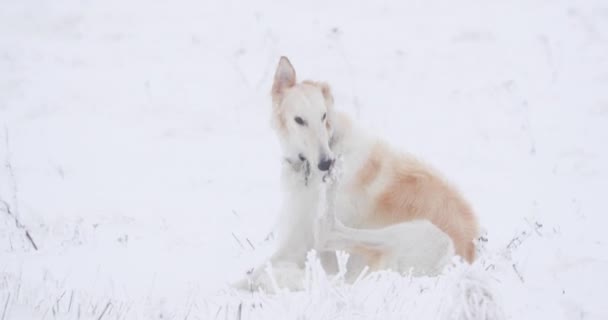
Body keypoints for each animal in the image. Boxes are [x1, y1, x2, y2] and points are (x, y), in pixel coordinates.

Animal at [238, 56, 480, 292]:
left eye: (323, 116)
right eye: (299, 120)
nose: (327, 163)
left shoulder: (301, 246)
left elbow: (258, 273)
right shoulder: (293, 242)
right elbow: (249, 276)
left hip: (423, 234)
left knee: (326, 232)